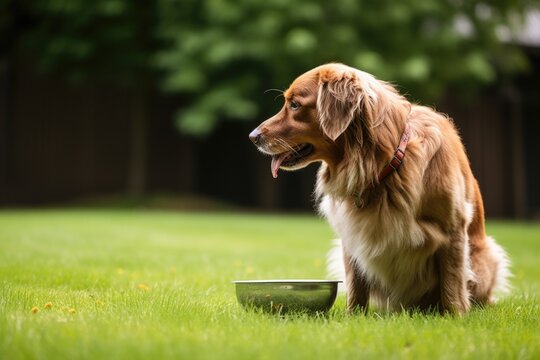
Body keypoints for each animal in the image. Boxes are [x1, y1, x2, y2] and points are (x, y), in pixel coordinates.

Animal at [249, 63, 510, 314]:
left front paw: (456, 317)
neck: (384, 163)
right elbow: (356, 283)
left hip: (483, 259)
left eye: (294, 105)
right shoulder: (351, 232)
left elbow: (452, 282)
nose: (253, 136)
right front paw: (353, 317)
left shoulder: (453, 228)